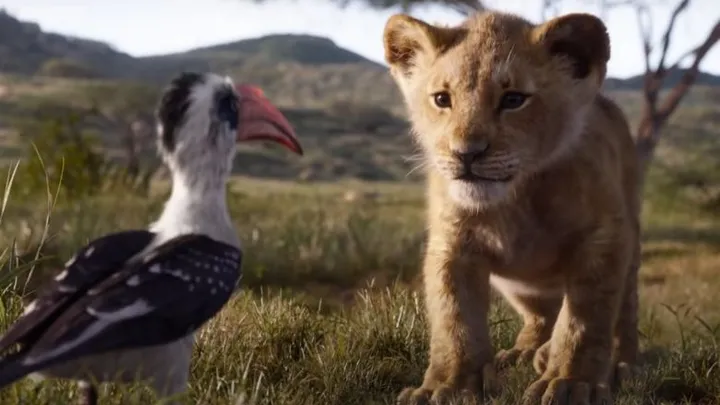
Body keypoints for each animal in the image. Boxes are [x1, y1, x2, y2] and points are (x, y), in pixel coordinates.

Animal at [382, 10, 641, 405]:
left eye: (513, 99)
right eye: (442, 99)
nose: (466, 153)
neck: (515, 199)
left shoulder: (603, 237)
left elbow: (584, 319)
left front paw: (569, 382)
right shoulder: (452, 244)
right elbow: (454, 319)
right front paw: (448, 386)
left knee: (624, 313)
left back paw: (619, 364)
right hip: (520, 286)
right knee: (540, 317)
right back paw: (524, 352)